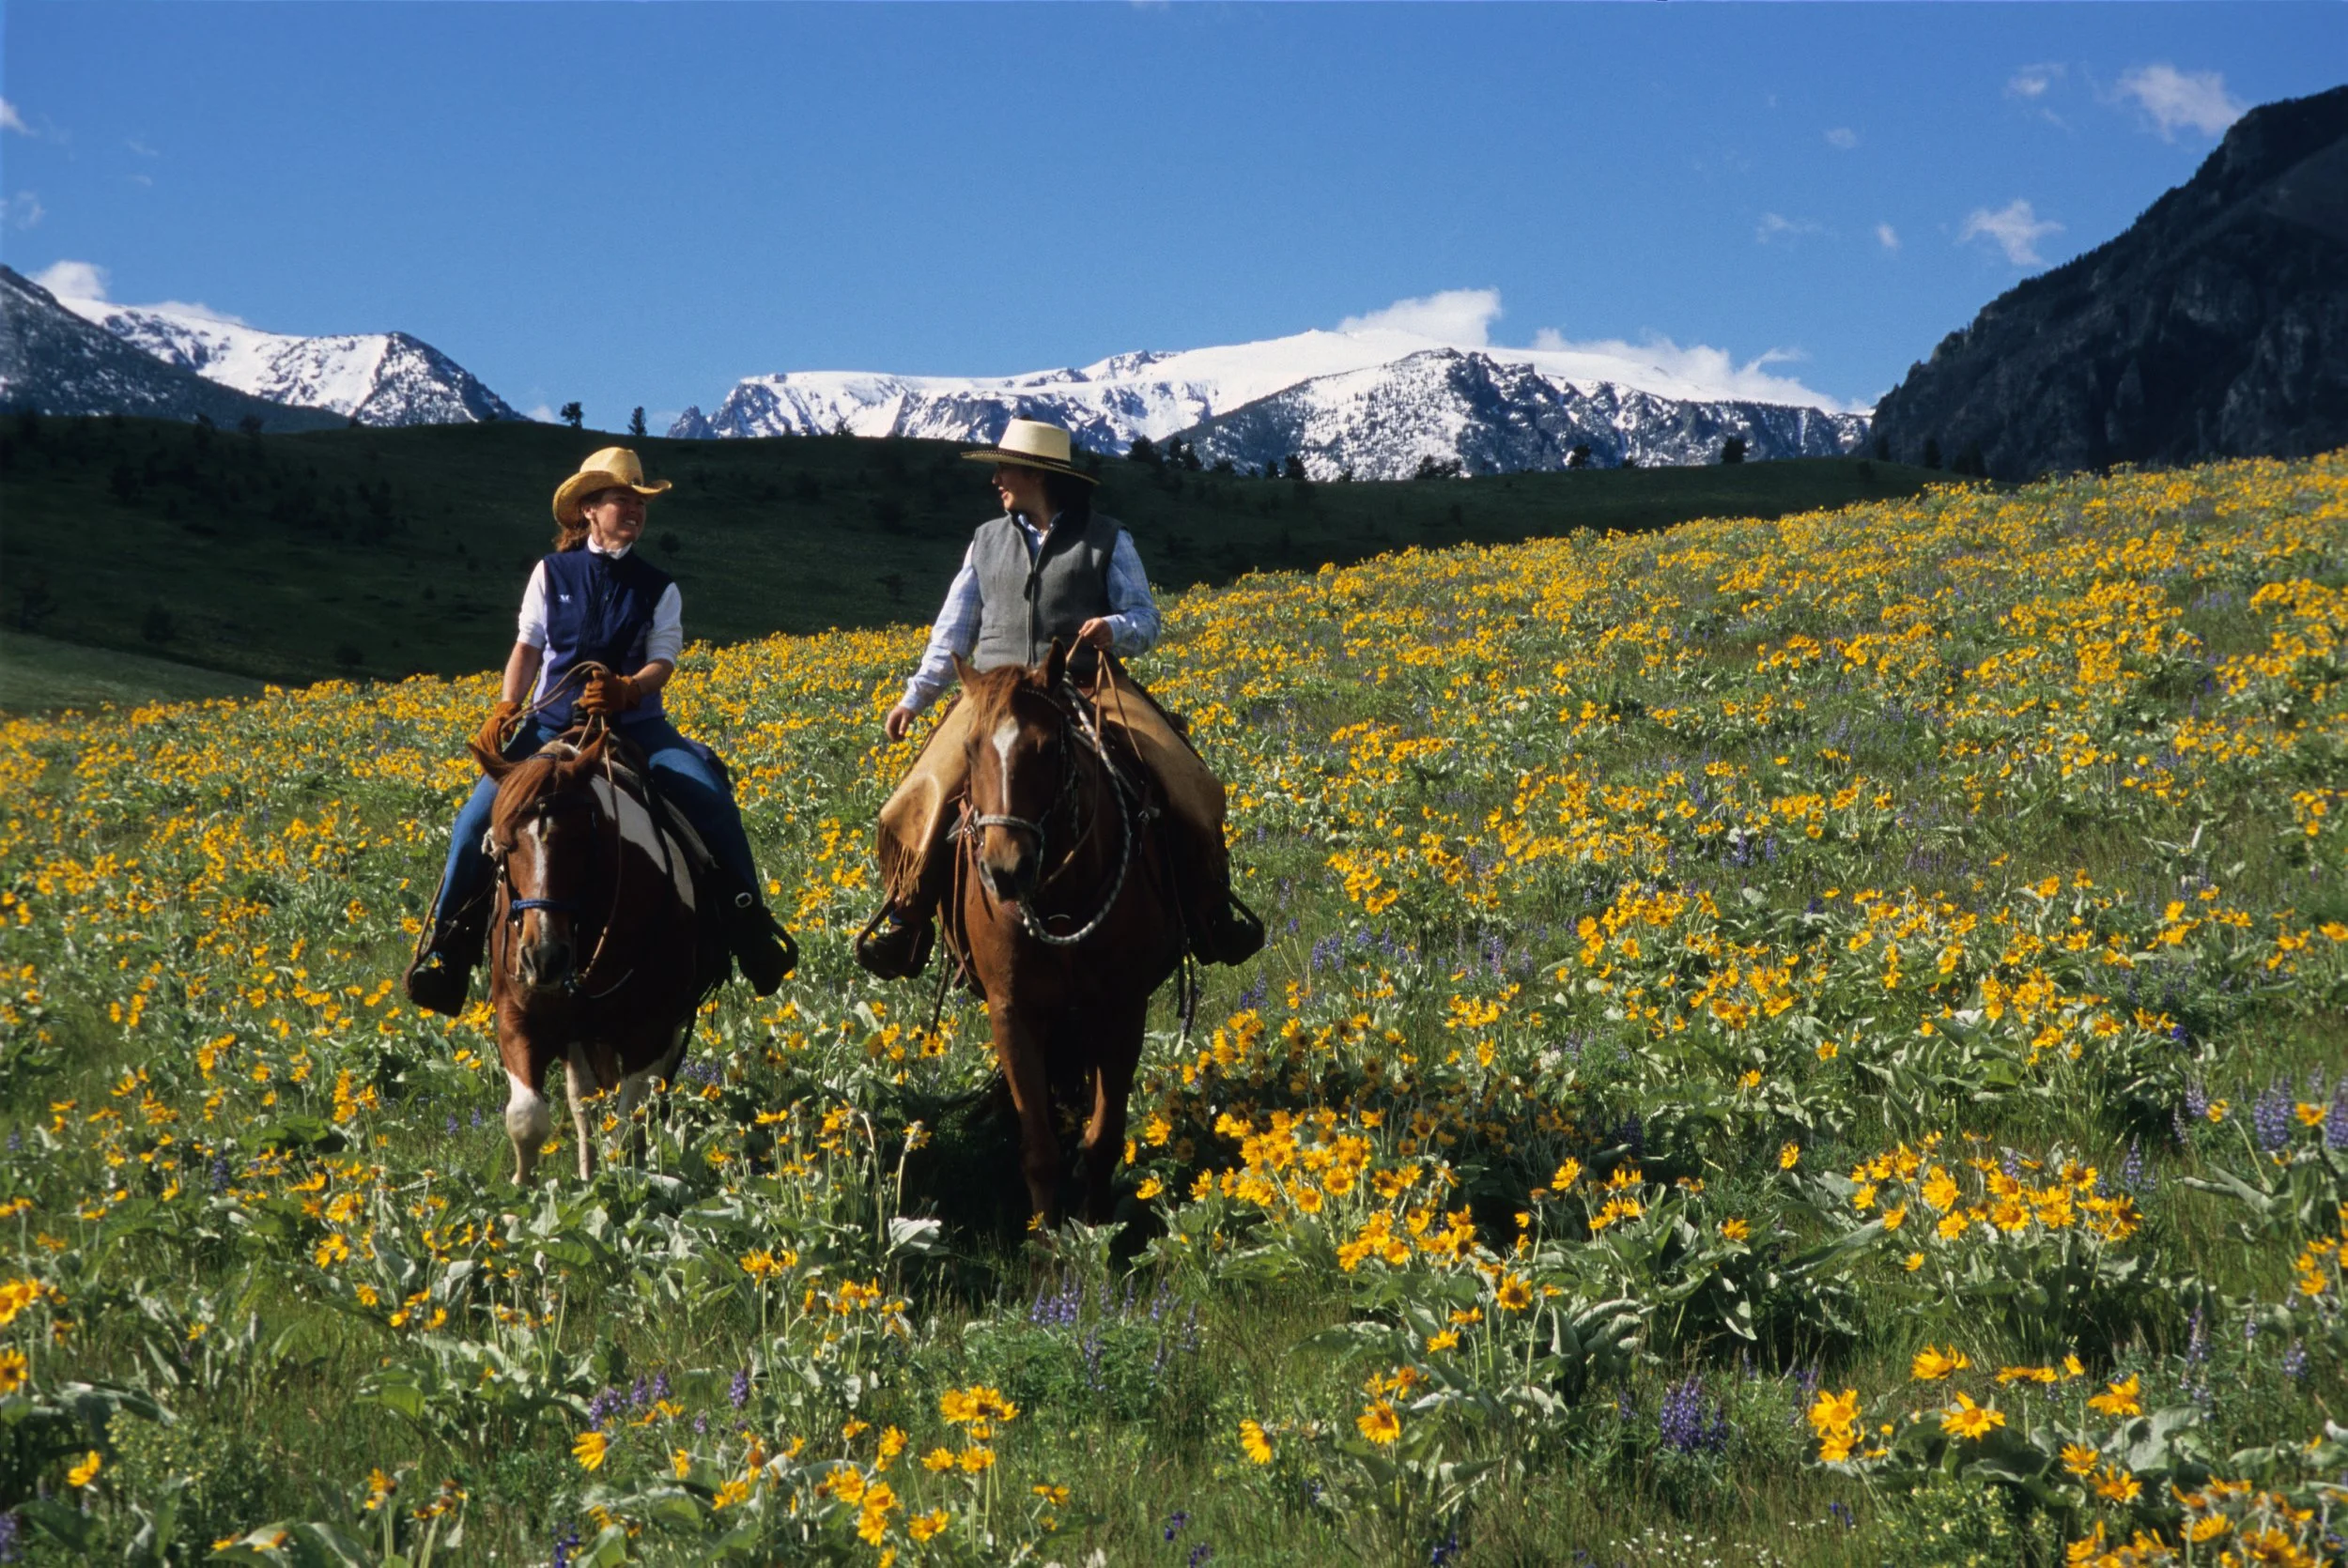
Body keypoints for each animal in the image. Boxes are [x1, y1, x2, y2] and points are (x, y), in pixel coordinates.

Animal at [470, 727, 708, 1183]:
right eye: (503, 843)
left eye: (582, 840)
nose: (543, 958)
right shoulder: (517, 1018)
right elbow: (527, 1118)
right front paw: (520, 1194)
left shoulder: (651, 1031)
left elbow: (627, 1130)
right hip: (579, 1037)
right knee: (585, 1106)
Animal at [942, 643, 1189, 1227]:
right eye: (969, 748)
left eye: (1048, 747)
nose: (1005, 870)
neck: (1057, 906)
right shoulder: (1012, 1010)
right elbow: (1039, 1147)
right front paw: (1047, 1240)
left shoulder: (1123, 1007)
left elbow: (1104, 1137)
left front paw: (1096, 1227)